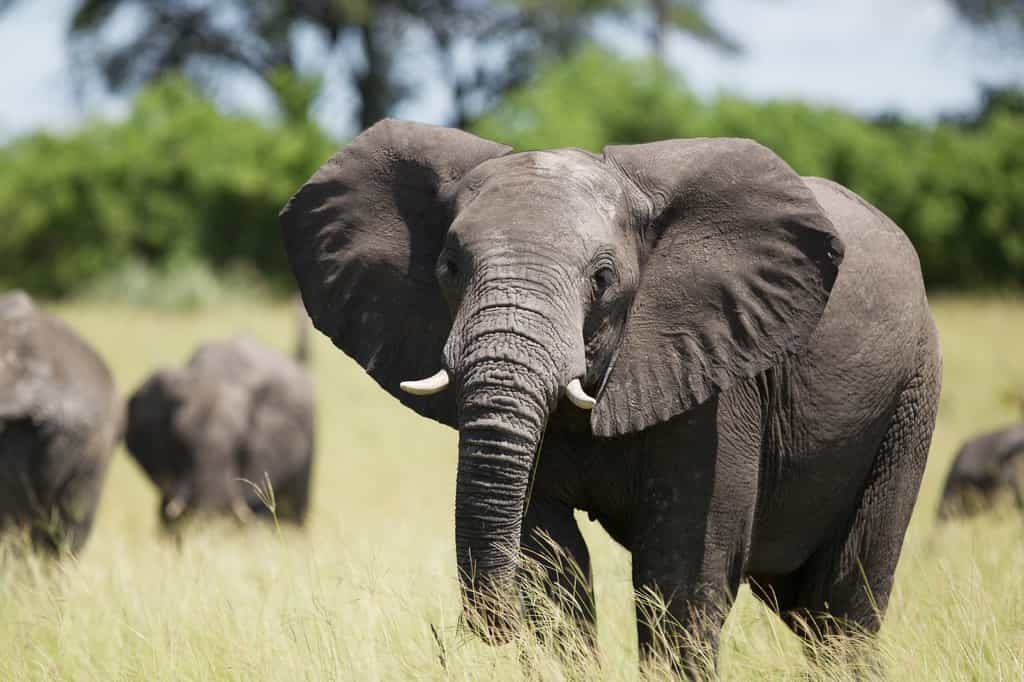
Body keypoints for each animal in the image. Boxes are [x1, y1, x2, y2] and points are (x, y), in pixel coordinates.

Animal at [280, 119, 942, 672]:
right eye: (449, 267)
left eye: (602, 280)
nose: (481, 629)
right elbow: (549, 560)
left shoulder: (721, 376)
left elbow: (684, 566)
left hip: (909, 399)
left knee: (844, 600)